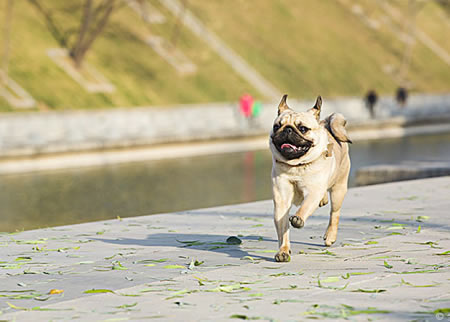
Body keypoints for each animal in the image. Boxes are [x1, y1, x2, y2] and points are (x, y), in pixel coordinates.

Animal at [270, 94, 352, 262]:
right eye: (276, 127)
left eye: (302, 129)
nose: (287, 129)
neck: (295, 166)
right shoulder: (281, 201)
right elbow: (283, 231)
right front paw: (283, 251)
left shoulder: (313, 192)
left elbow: (305, 207)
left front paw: (298, 219)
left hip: (338, 189)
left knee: (334, 213)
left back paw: (330, 236)